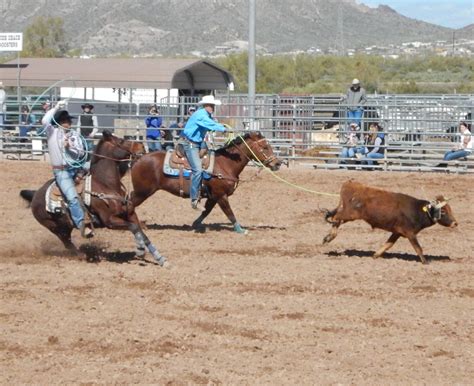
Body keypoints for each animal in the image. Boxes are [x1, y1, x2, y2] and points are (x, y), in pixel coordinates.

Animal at [19, 131, 168, 266]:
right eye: (120, 141)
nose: (141, 146)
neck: (106, 184)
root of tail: (35, 194)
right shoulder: (109, 221)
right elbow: (133, 228)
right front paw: (140, 250)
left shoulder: (130, 214)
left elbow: (141, 232)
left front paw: (160, 258)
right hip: (55, 227)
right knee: (67, 243)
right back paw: (83, 256)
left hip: (65, 226)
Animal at [130, 131, 282, 234]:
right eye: (265, 147)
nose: (278, 163)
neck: (225, 164)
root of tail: (139, 158)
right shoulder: (221, 195)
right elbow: (229, 212)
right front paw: (240, 229)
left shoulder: (213, 196)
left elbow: (206, 211)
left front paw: (195, 224)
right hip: (143, 192)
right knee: (130, 203)